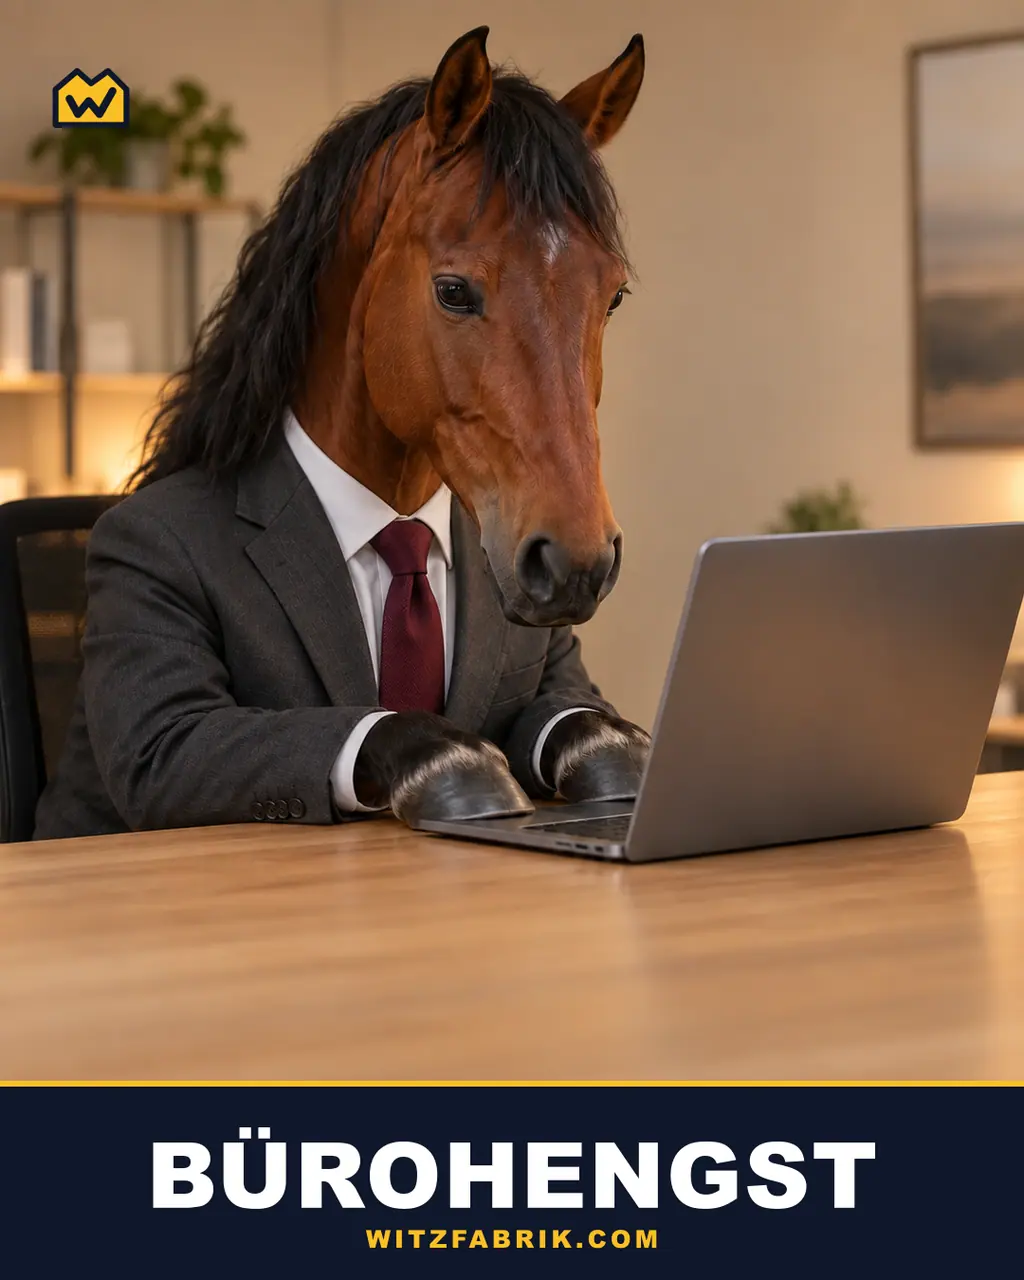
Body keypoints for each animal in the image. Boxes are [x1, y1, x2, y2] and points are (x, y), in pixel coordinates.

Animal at [128, 27, 650, 825]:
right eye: (453, 291)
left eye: (613, 295)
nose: (576, 563)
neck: (395, 515)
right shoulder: (169, 735)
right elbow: (393, 730)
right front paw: (459, 771)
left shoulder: (569, 686)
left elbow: (597, 729)